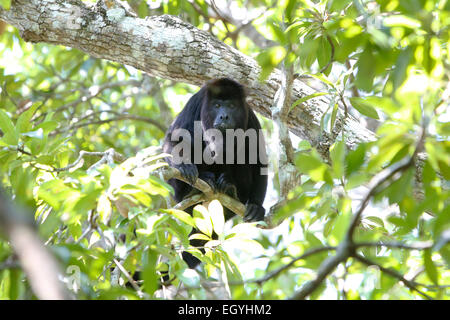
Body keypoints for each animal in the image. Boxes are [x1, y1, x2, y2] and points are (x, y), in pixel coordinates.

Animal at [163, 79, 266, 268]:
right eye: (217, 105)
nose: (224, 116)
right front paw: (185, 165)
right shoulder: (194, 103)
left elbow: (258, 159)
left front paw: (256, 206)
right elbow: (173, 138)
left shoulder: (250, 116)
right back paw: (196, 186)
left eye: (231, 106)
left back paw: (230, 187)